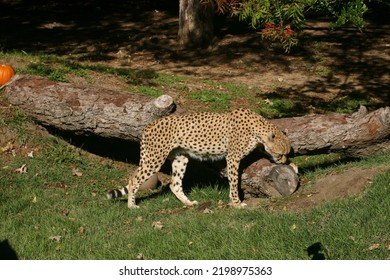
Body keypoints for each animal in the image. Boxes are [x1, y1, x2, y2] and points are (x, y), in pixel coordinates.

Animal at [106, 108, 290, 209]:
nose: (283, 162)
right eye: (281, 154)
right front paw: (237, 203)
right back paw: (131, 205)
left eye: (287, 154)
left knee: (174, 184)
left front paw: (233, 201)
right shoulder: (232, 157)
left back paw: (188, 203)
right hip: (154, 158)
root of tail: (148, 125)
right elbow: (234, 180)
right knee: (134, 179)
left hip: (181, 158)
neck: (258, 128)